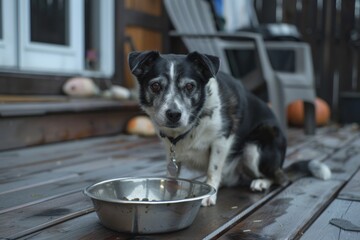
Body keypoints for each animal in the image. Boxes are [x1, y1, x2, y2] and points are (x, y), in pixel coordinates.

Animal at [128, 50, 330, 206]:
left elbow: (213, 169)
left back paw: (261, 182)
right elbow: (172, 175)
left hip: (255, 147)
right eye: (155, 86)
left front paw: (209, 195)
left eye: (190, 86)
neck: (194, 121)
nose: (173, 114)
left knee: (280, 178)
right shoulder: (171, 152)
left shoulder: (222, 140)